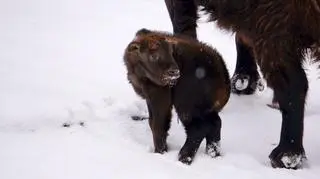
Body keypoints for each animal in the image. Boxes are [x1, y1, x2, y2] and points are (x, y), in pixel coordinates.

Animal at [122, 28, 230, 164]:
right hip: (205, 110)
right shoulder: (150, 99)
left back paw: (183, 158)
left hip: (186, 108)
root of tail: (223, 75)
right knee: (215, 123)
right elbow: (152, 122)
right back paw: (213, 154)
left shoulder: (160, 99)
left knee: (198, 129)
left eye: (171, 53)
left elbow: (158, 125)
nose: (174, 72)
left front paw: (160, 152)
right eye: (153, 55)